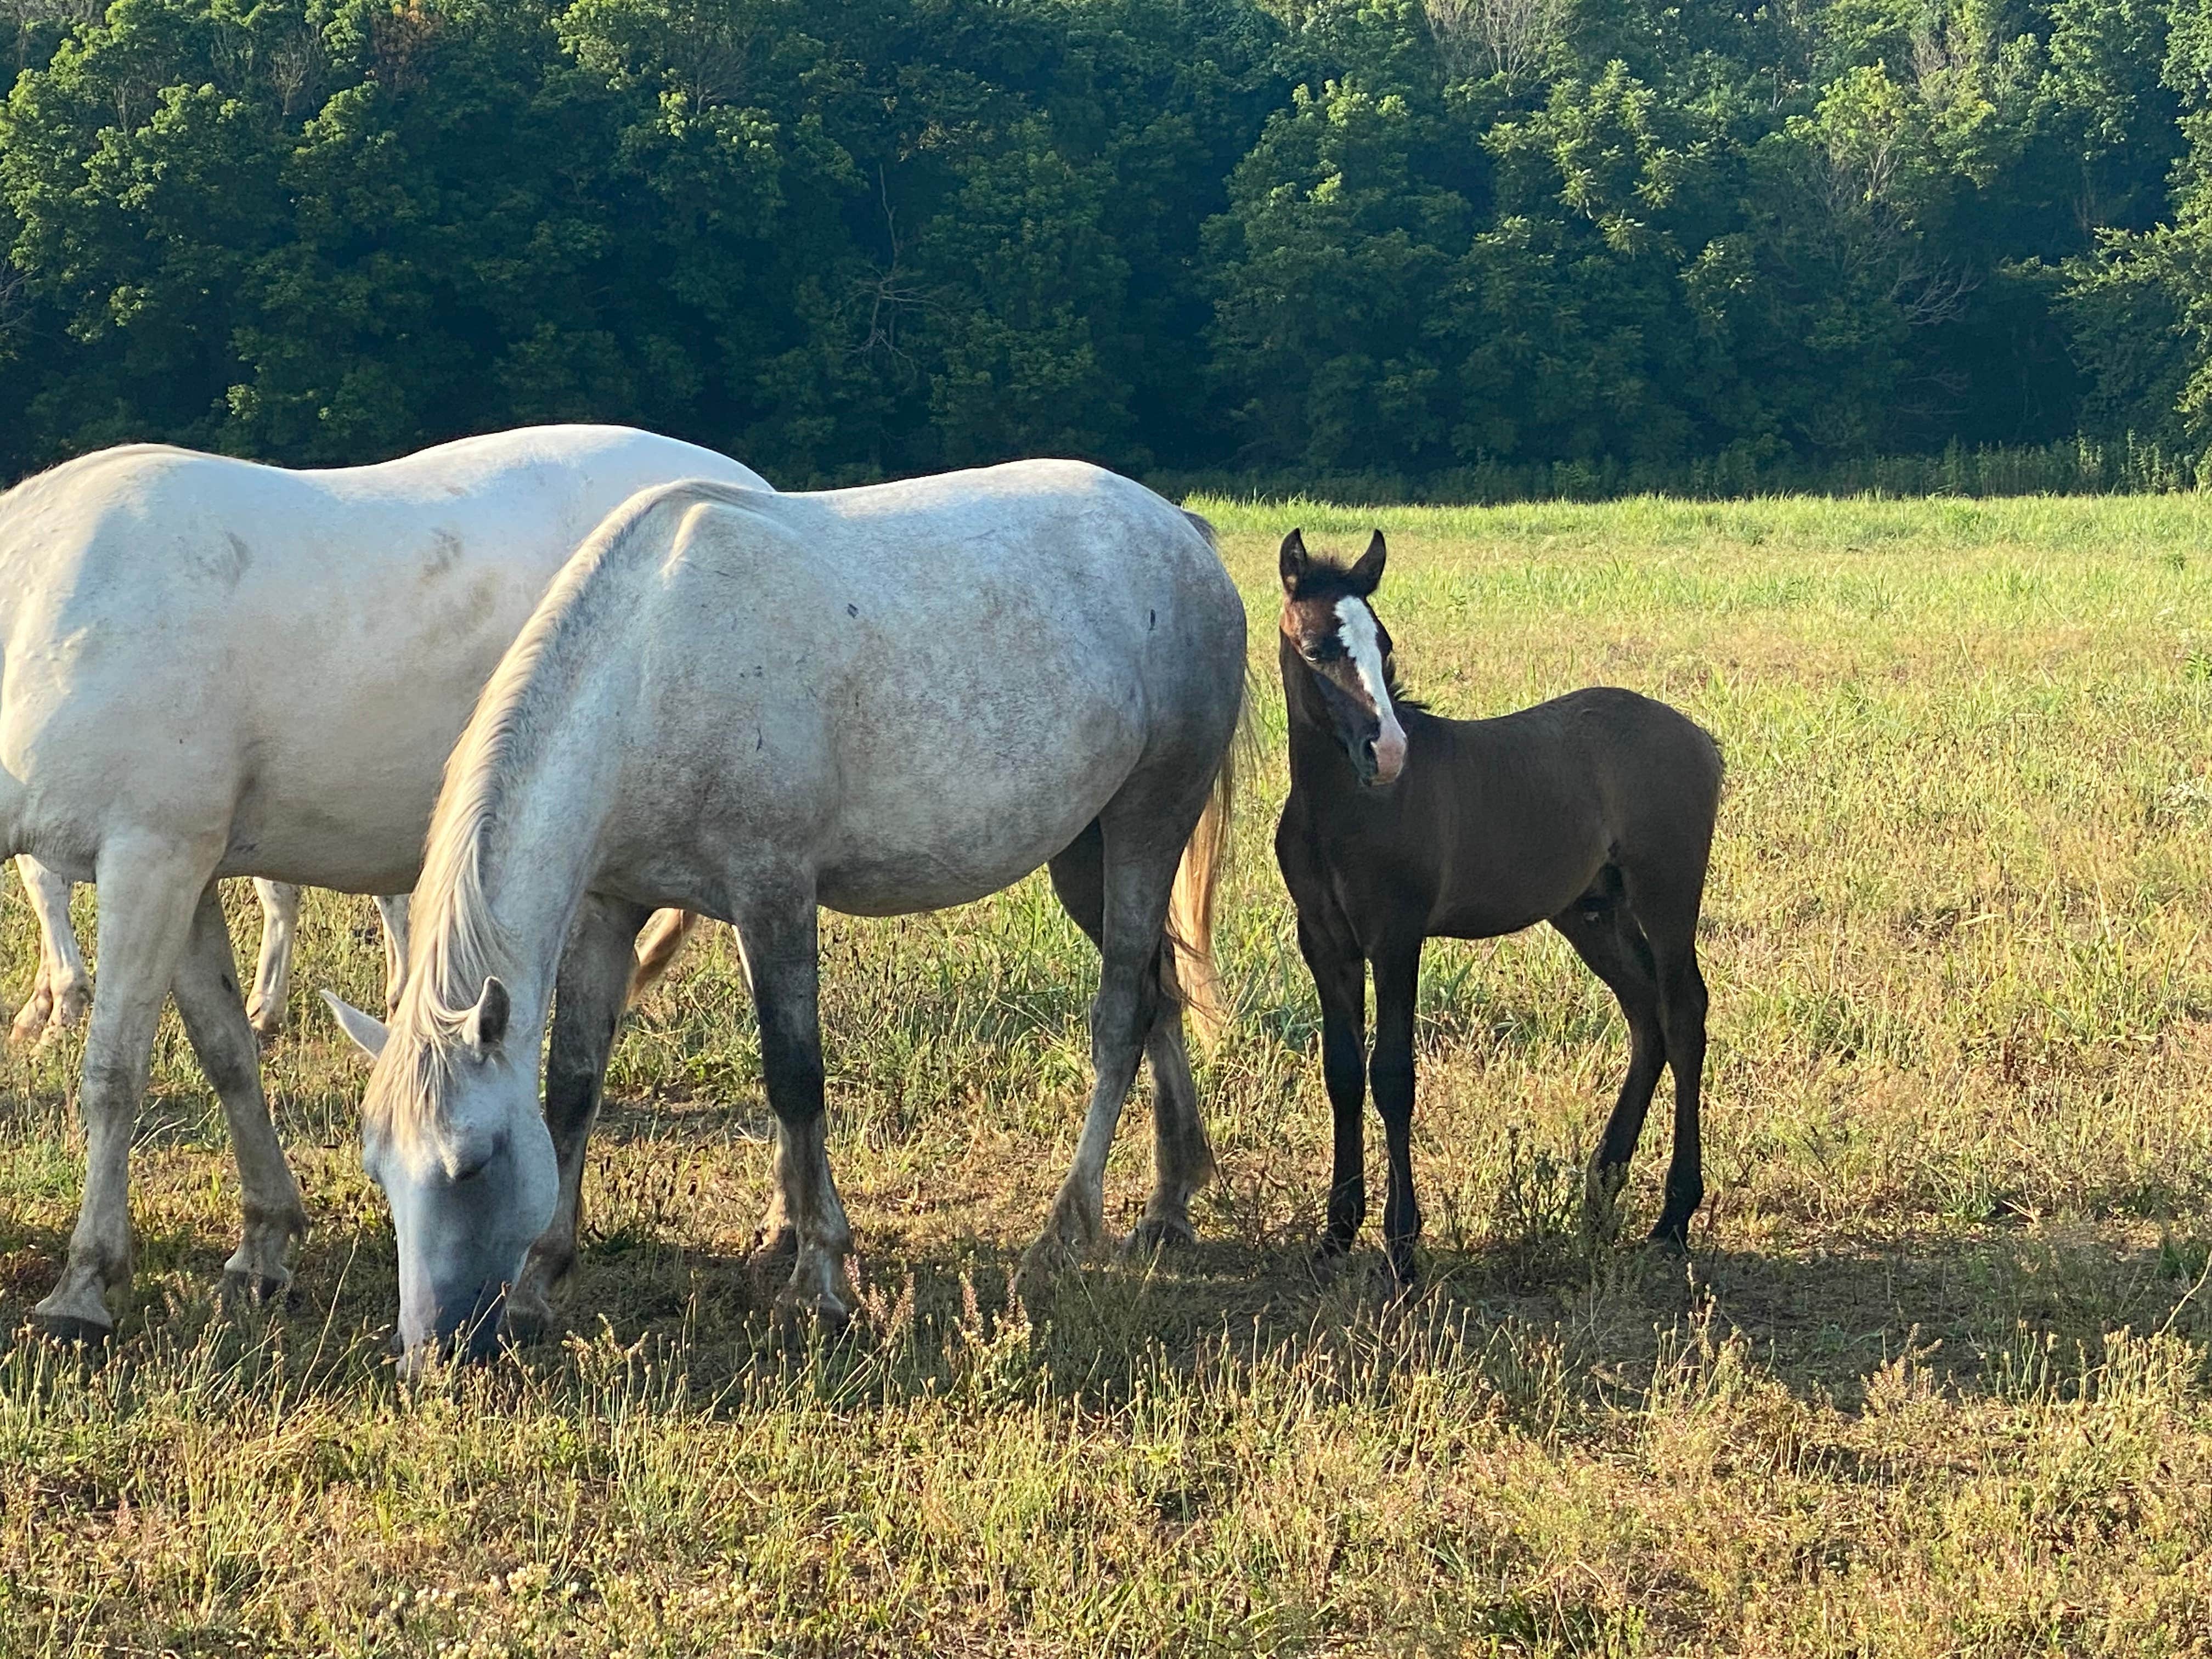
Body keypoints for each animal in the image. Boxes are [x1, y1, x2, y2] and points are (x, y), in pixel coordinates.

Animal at [0, 422, 770, 1345]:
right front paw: (263, 1246)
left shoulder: (147, 860)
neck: (47, 605)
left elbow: (113, 1075)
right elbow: (228, 1054)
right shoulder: (186, 874)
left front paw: (82, 1287)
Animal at [323, 469, 1248, 1380]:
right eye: (379, 1168)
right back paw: (1169, 1204)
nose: (429, 1358)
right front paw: (540, 1282)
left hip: (1148, 822)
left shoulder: (776, 893)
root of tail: (1181, 529)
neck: (650, 670)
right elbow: (575, 1086)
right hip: (1085, 855)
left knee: (1121, 1015)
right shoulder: (611, 908)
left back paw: (1064, 1235)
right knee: (1159, 992)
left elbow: (795, 1078)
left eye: (471, 1162)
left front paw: (820, 1280)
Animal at [1274, 533, 1716, 1283]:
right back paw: (1601, 1192)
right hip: (1591, 913)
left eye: (1384, 644)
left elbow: (1392, 1075)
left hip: (1667, 894)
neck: (1338, 809)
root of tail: (1700, 738)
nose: (1387, 753)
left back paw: (1673, 1217)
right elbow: (1342, 1073)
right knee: (1645, 1013)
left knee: (1684, 1013)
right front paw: (1335, 1234)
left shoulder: (1396, 938)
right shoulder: (1325, 943)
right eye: (1313, 648)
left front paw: (1402, 1246)